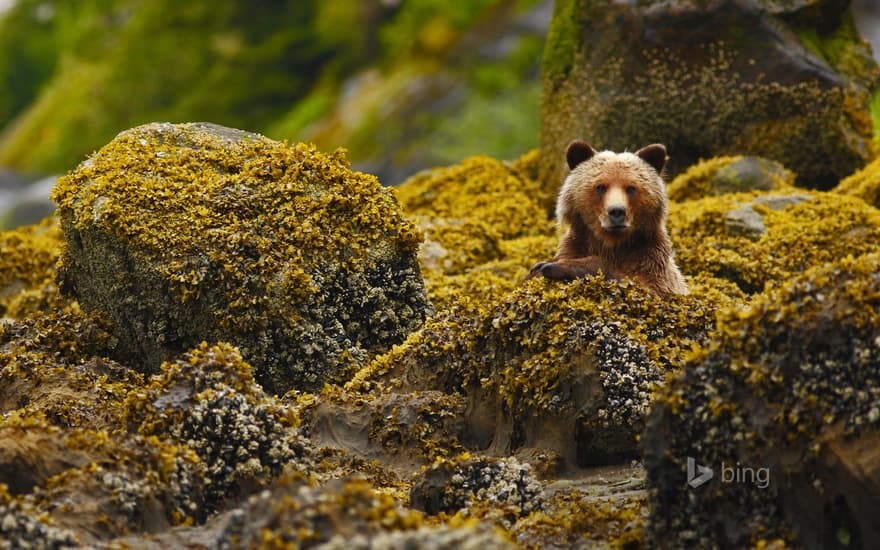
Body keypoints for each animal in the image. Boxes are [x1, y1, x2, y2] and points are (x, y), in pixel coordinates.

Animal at [528, 142, 688, 298]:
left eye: (631, 188)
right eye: (600, 187)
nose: (617, 211)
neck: (613, 244)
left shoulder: (651, 257)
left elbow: (646, 286)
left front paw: (552, 266)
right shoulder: (576, 244)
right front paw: (540, 266)